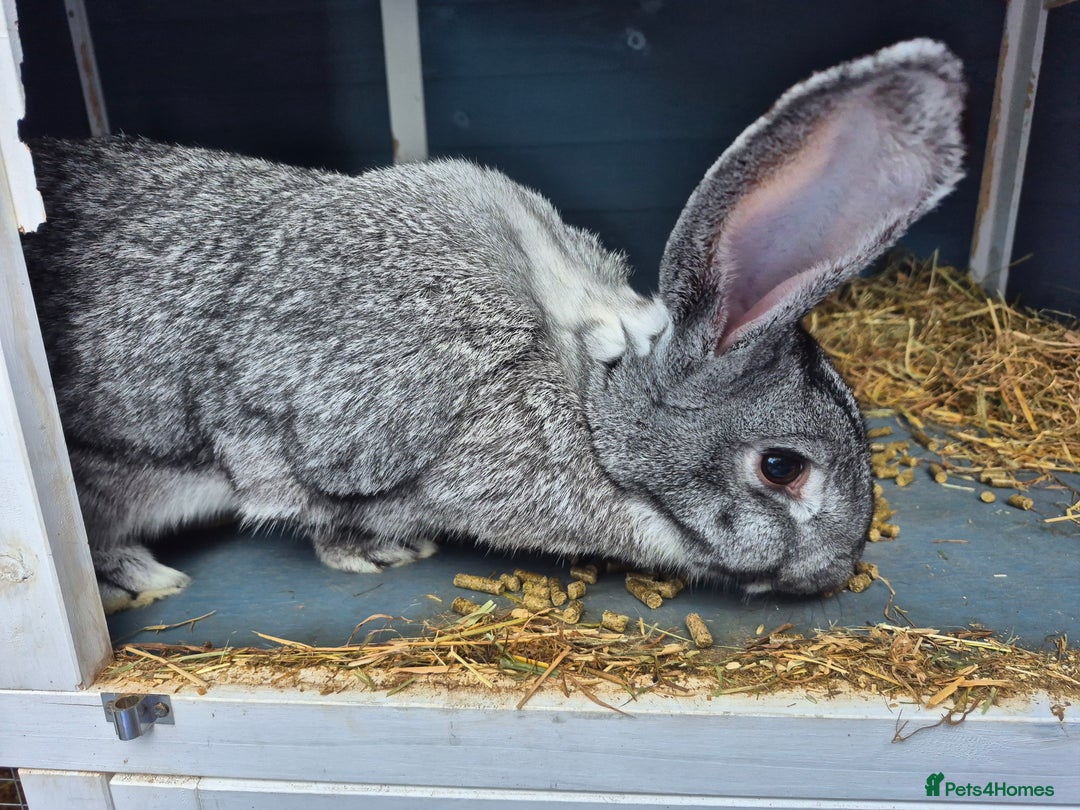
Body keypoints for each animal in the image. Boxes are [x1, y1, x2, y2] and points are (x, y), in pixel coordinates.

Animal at [22, 39, 964, 614]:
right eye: (782, 469)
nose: (838, 570)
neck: (588, 401)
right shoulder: (311, 442)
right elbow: (311, 503)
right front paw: (381, 554)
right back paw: (143, 579)